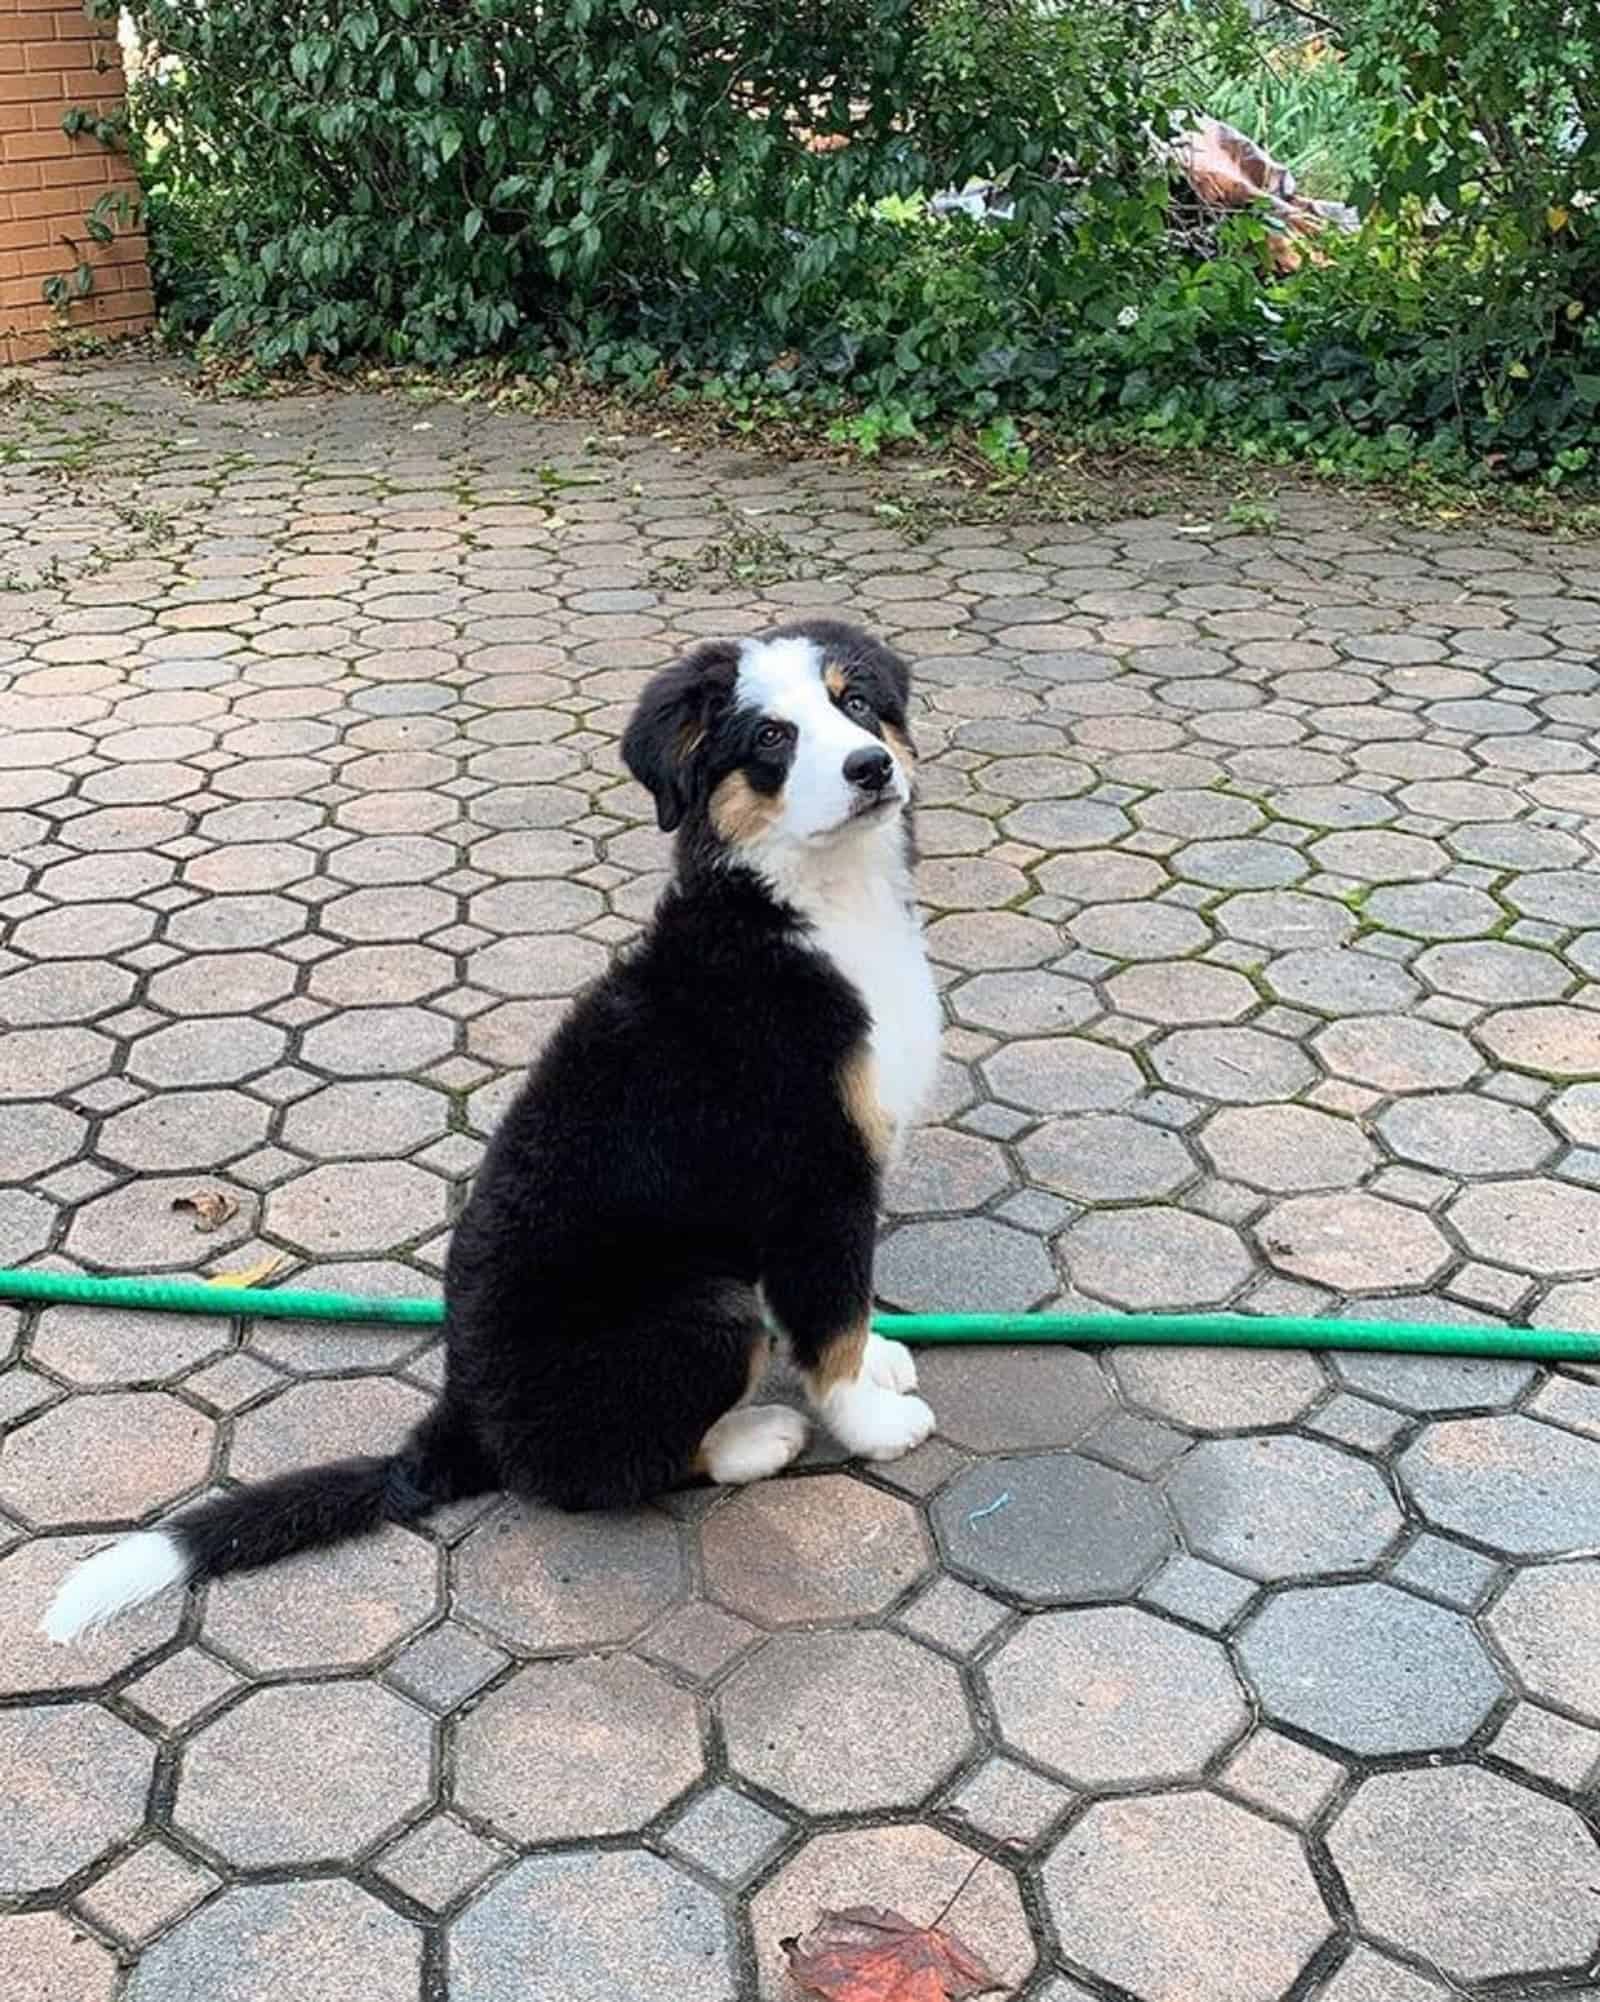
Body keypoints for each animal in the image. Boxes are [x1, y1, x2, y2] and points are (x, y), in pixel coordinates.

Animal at [50, 612, 945, 1641]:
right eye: (771, 738)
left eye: (858, 704)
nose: (872, 768)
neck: (813, 909)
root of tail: (460, 1425)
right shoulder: (813, 1176)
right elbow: (830, 1317)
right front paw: (871, 1421)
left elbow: (848, 1308)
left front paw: (881, 1364)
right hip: (705, 1309)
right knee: (595, 1472)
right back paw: (755, 1437)